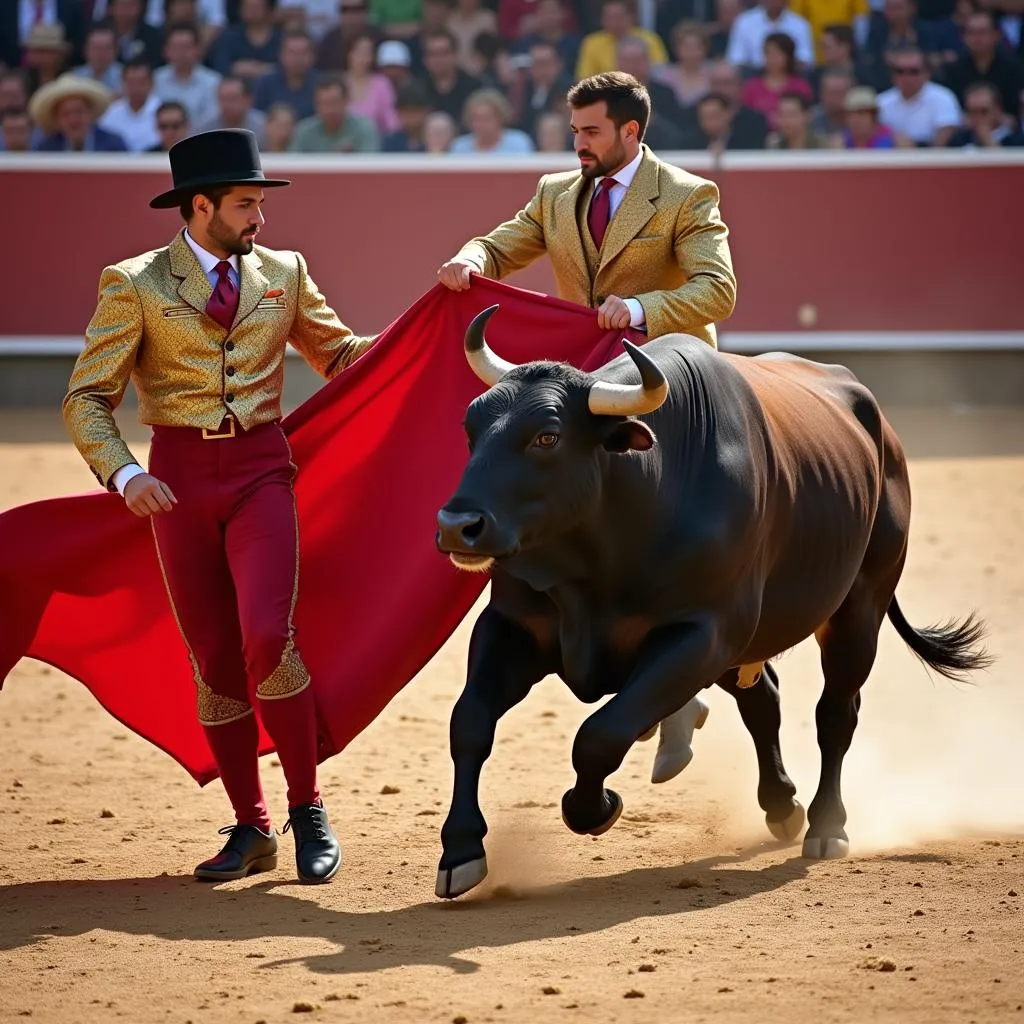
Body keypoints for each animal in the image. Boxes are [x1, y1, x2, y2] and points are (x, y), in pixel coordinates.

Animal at [432, 303, 991, 897]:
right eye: (470, 429)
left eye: (547, 437)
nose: (456, 526)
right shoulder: (511, 625)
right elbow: (470, 721)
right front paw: (461, 851)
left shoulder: (703, 634)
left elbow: (600, 734)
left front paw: (595, 808)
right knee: (763, 698)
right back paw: (782, 806)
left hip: (859, 607)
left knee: (836, 713)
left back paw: (826, 826)